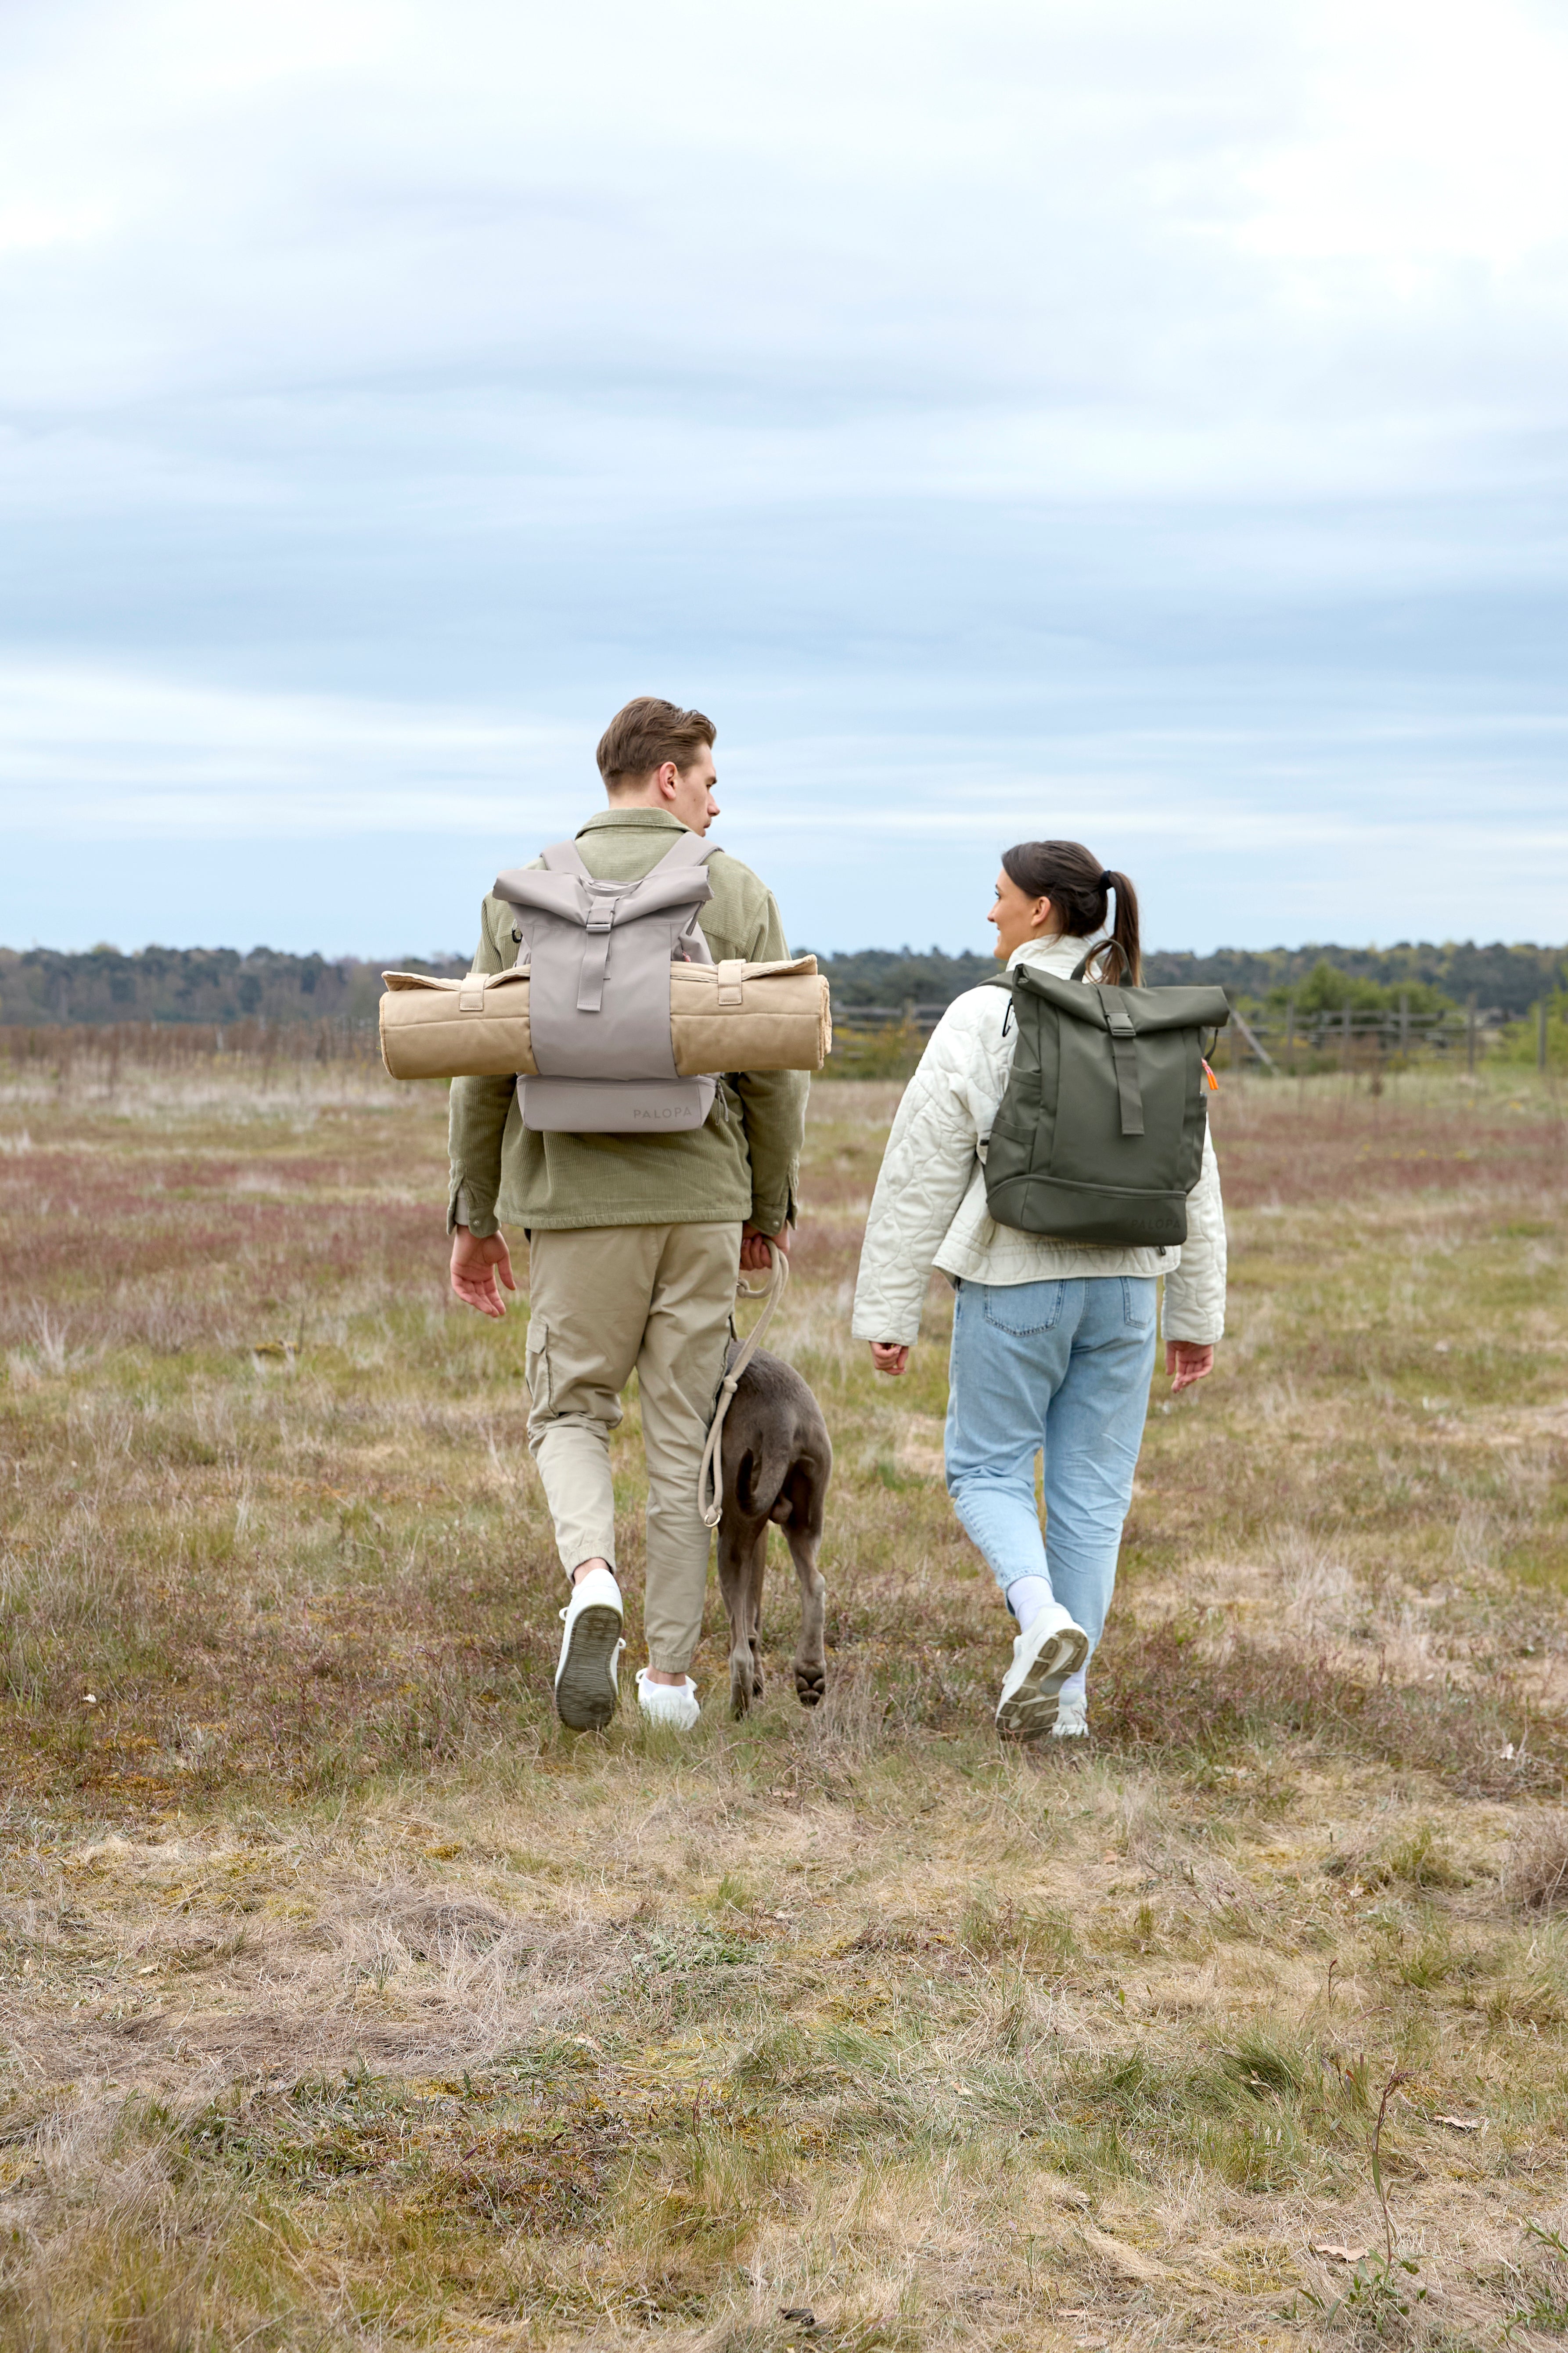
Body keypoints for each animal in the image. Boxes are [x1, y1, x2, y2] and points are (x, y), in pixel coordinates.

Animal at [715, 1355, 832, 1722]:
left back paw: (738, 1706)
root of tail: (782, 1419)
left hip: (730, 1537)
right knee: (815, 1583)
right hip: (805, 1514)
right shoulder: (762, 1534)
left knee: (739, 1650)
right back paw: (810, 1671)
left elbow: (742, 1619)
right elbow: (754, 1616)